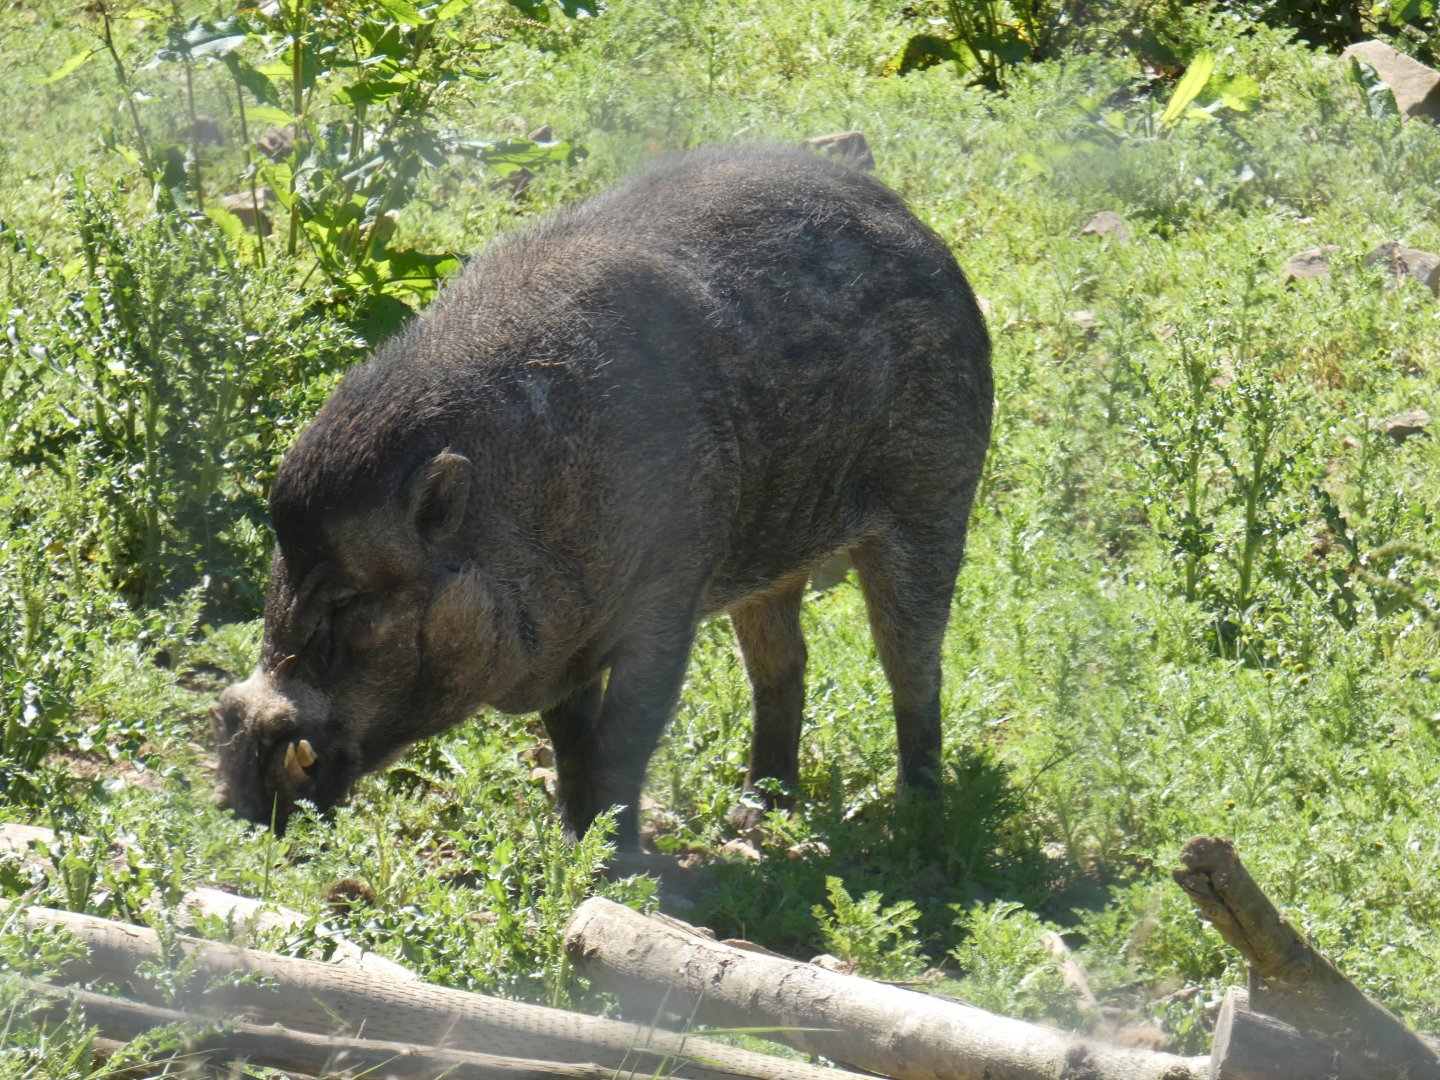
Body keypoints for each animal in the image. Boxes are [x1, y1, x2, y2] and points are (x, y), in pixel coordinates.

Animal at [211, 144, 993, 848]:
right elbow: (570, 737)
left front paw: (615, 866)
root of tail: (915, 224)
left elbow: (626, 734)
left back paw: (917, 816)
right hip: (776, 555)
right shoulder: (566, 644)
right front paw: (573, 843)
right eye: (280, 569)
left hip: (935, 495)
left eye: (349, 599)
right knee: (784, 664)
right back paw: (757, 817)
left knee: (913, 664)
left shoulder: (670, 593)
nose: (245, 802)